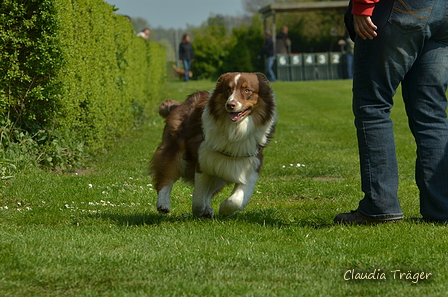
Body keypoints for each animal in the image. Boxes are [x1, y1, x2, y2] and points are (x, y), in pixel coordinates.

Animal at [150, 70, 274, 216]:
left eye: (247, 90)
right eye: (228, 89)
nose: (230, 105)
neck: (235, 130)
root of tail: (181, 103)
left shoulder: (250, 163)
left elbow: (236, 199)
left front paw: (225, 210)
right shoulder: (204, 159)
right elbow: (198, 198)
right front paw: (199, 211)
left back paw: (208, 209)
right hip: (176, 150)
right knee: (167, 177)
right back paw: (163, 204)